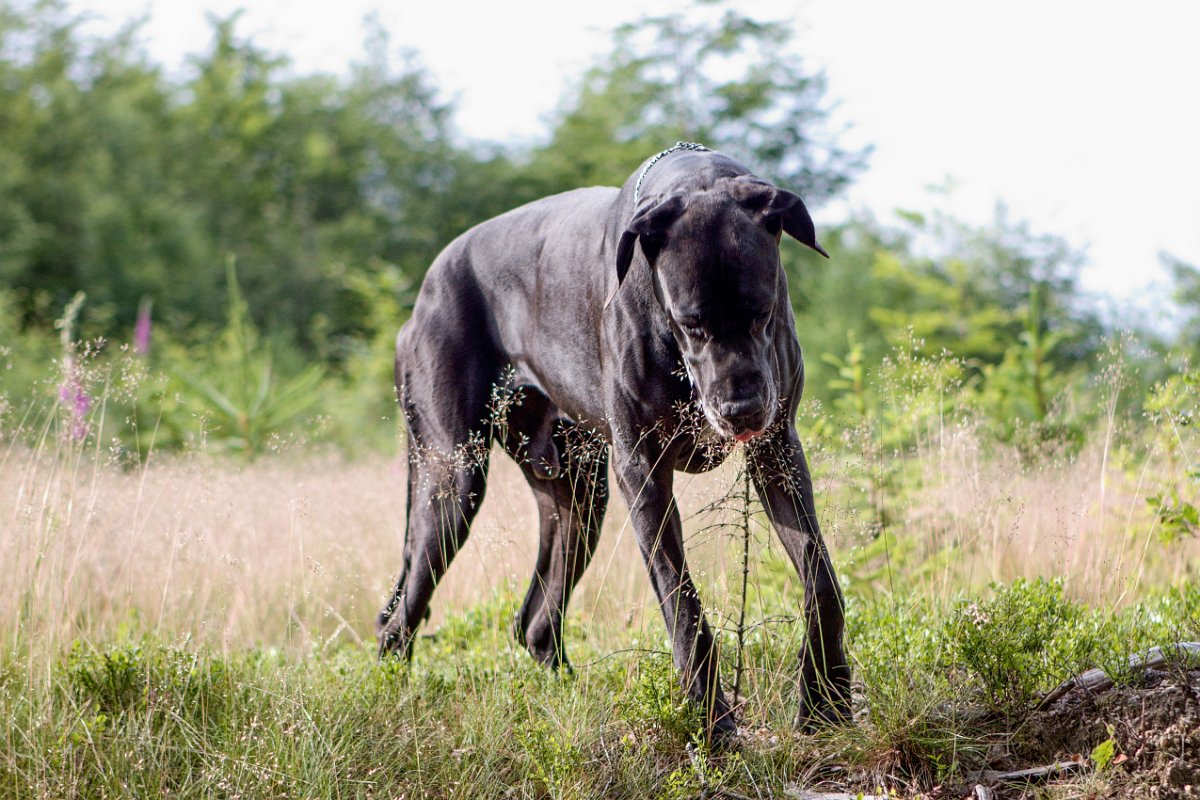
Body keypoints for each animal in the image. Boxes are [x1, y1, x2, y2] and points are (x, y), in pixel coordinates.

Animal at [379, 142, 849, 738]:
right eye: (690, 323)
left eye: (762, 311)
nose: (740, 411)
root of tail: (420, 298)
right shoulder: (643, 471)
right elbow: (681, 601)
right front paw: (711, 721)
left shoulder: (777, 451)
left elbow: (820, 576)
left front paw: (828, 702)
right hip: (453, 478)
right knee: (402, 615)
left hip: (579, 494)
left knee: (535, 620)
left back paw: (569, 700)